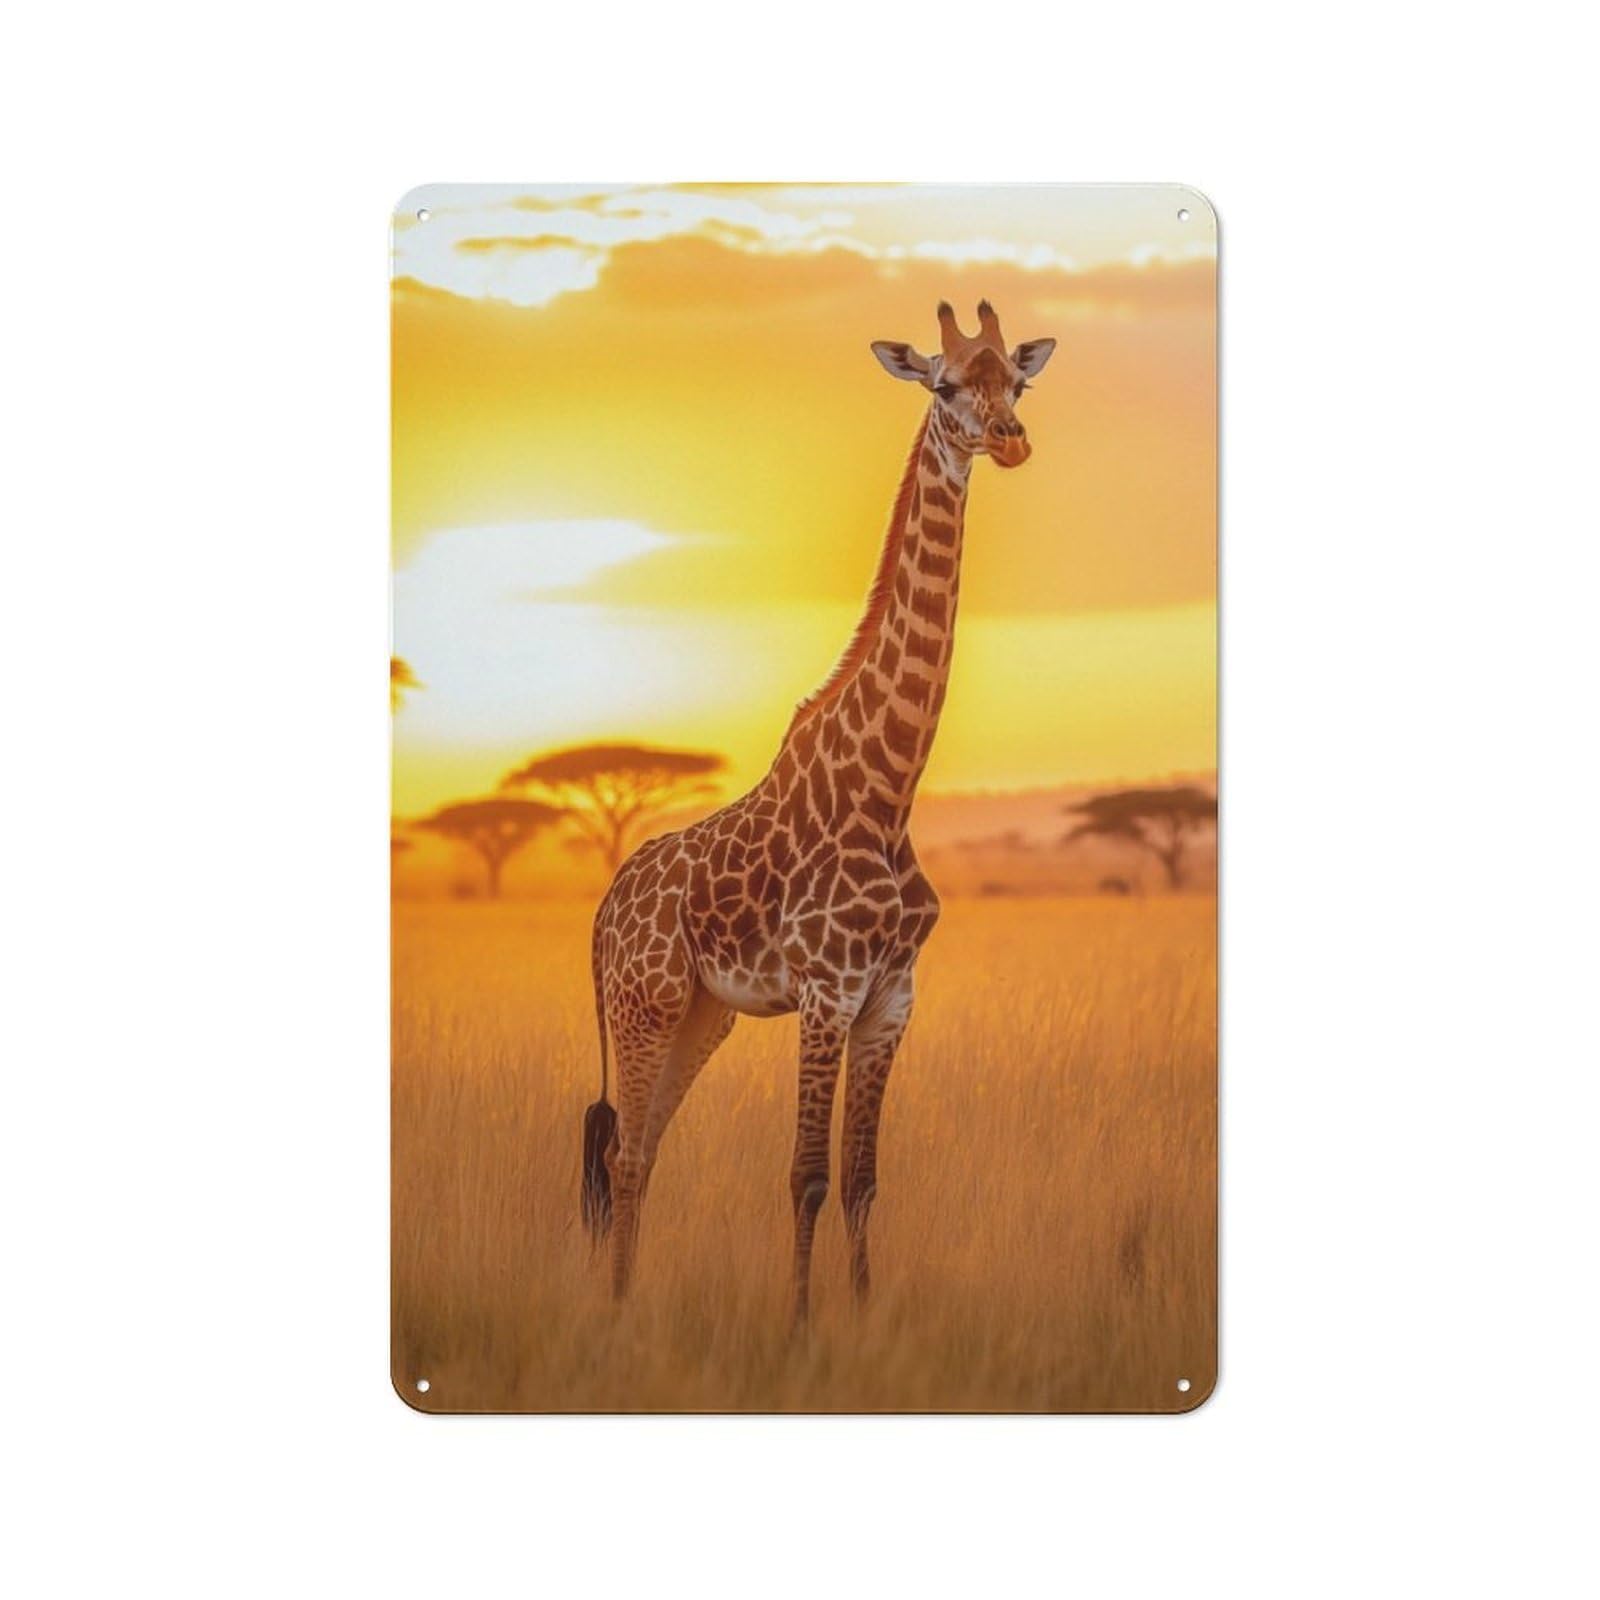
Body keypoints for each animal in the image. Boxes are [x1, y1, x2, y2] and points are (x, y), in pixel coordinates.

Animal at [581, 301, 1057, 1324]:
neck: (887, 787)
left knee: (641, 1150)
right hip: (644, 1004)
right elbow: (803, 1173)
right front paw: (800, 1326)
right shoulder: (827, 991)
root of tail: (602, 912)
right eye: (945, 385)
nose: (1011, 439)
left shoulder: (891, 999)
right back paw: (618, 1308)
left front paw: (865, 1316)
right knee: (625, 1155)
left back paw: (627, 1299)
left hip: (700, 1017)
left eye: (1018, 382)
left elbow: (862, 1178)